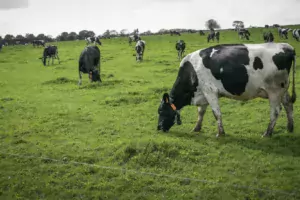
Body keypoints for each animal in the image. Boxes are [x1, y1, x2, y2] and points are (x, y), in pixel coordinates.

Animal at [156, 43, 296, 138]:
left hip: (274, 91)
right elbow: (201, 112)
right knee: (288, 104)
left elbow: (216, 113)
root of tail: (286, 47)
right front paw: (196, 128)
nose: (159, 127)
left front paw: (220, 133)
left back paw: (267, 133)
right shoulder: (203, 93)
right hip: (283, 89)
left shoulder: (210, 91)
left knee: (276, 111)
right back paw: (289, 128)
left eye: (161, 111)